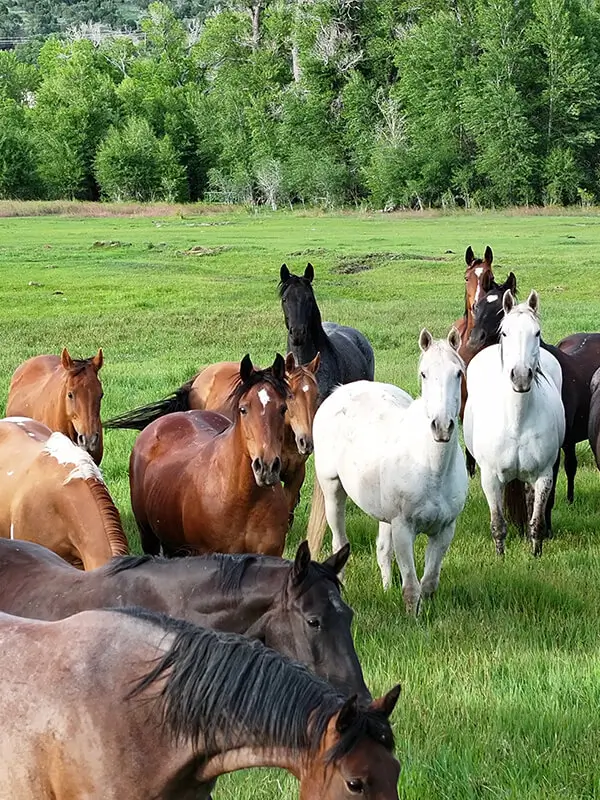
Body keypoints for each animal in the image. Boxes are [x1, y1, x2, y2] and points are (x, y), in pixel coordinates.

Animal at [308, 328, 468, 615]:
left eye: (458, 373)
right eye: (424, 373)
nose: (442, 426)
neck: (432, 469)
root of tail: (339, 391)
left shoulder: (444, 529)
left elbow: (428, 583)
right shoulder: (404, 528)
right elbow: (412, 588)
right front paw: (413, 620)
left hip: (385, 515)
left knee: (382, 550)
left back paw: (385, 589)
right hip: (332, 490)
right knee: (339, 542)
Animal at [464, 290, 565, 557]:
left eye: (536, 333)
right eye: (506, 332)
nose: (520, 376)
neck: (517, 420)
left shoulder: (543, 475)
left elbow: (537, 520)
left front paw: (535, 554)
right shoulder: (490, 478)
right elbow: (498, 524)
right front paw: (500, 558)